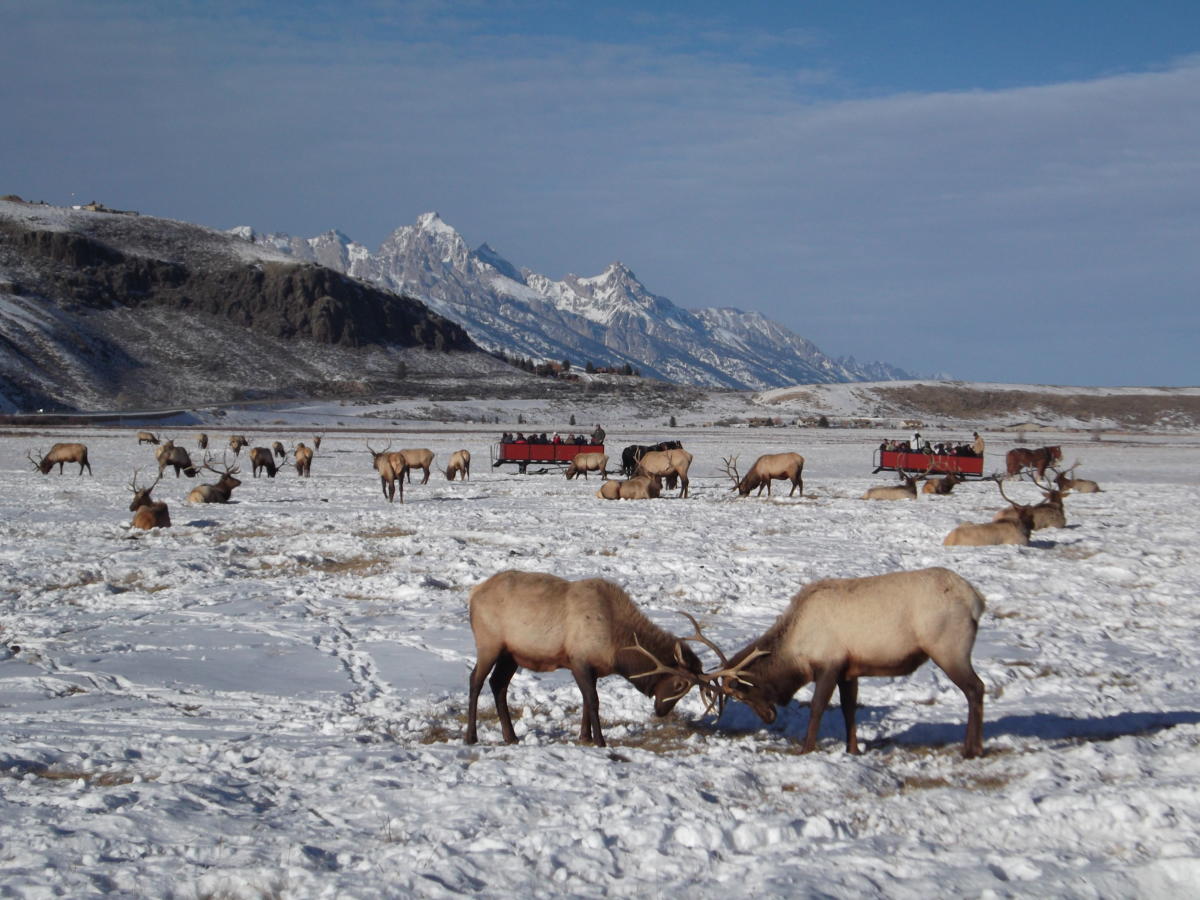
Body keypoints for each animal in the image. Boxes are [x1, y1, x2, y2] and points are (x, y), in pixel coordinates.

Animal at [465, 573, 710, 748]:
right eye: (679, 684)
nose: (661, 711)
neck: (616, 648)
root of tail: (474, 594)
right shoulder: (579, 660)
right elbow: (593, 700)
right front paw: (600, 741)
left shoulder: (592, 668)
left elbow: (585, 700)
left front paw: (585, 737)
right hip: (489, 645)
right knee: (475, 680)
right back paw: (471, 737)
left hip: (511, 654)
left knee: (498, 684)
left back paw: (511, 736)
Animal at [700, 571, 984, 763]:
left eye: (741, 693)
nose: (768, 717)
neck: (796, 653)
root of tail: (976, 600)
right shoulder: (850, 670)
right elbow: (849, 708)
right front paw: (853, 749)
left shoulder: (829, 664)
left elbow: (817, 707)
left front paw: (805, 749)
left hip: (948, 648)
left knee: (976, 688)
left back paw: (972, 749)